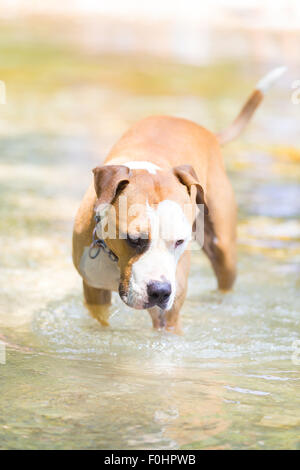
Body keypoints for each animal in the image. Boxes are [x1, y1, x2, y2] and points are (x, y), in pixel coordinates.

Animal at [72, 67, 286, 334]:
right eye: (134, 239)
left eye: (179, 241)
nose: (160, 291)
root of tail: (205, 130)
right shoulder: (94, 293)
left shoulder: (169, 315)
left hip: (223, 248)